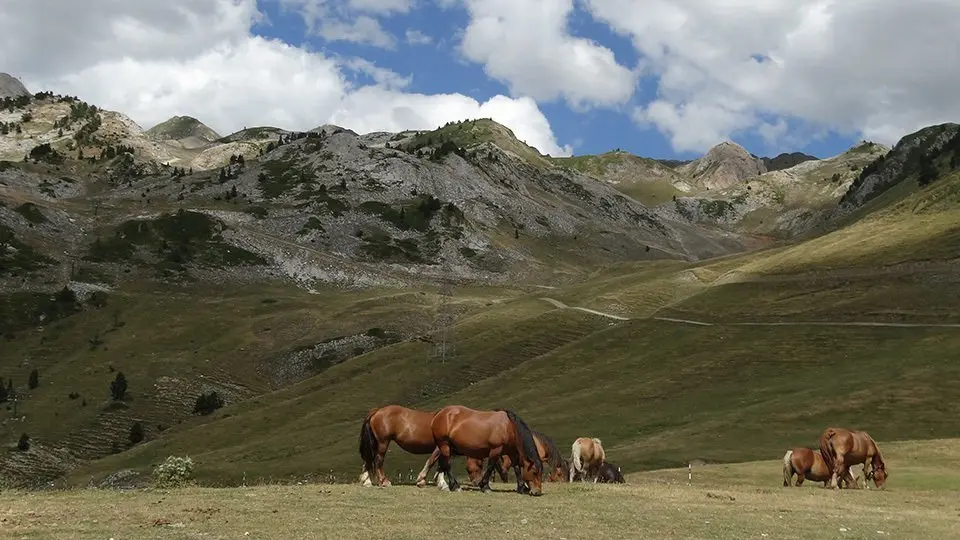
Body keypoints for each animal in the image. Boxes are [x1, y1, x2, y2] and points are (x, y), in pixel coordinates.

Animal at [354, 402, 484, 488]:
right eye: (479, 464)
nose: (478, 482)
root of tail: (377, 410)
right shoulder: (440, 448)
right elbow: (432, 462)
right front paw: (422, 480)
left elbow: (441, 465)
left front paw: (441, 483)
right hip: (383, 442)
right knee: (378, 460)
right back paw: (384, 481)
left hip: (374, 443)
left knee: (368, 460)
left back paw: (366, 481)